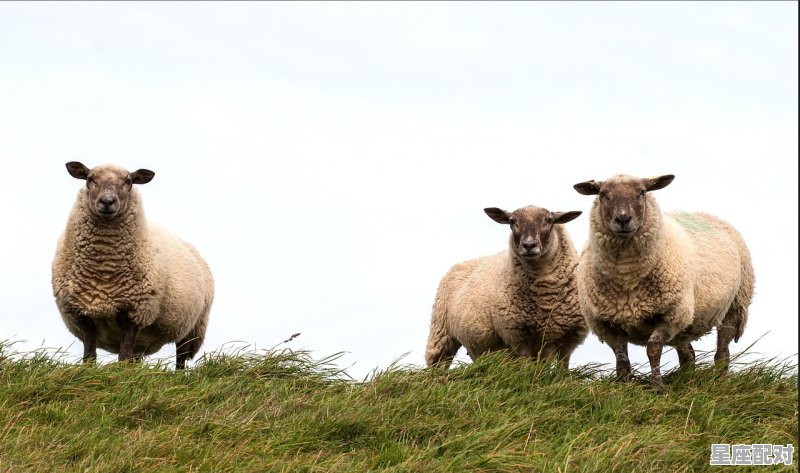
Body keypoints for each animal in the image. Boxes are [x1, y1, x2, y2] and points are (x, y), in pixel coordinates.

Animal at [52, 162, 216, 368]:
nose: (107, 201)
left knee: (180, 359)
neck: (104, 273)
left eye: (128, 181)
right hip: (145, 340)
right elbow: (89, 357)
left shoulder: (136, 313)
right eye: (90, 179)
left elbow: (123, 357)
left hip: (193, 328)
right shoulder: (82, 313)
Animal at [424, 205, 588, 366]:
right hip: (441, 334)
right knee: (438, 363)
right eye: (512, 221)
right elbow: (528, 366)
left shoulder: (568, 338)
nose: (529, 245)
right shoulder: (518, 334)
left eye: (549, 220)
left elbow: (561, 368)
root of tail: (460, 264)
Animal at [572, 173, 752, 388]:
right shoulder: (606, 324)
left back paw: (721, 382)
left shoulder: (670, 314)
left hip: (734, 305)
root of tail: (707, 215)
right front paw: (623, 386)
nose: (623, 219)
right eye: (602, 194)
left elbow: (653, 349)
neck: (626, 276)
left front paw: (658, 387)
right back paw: (686, 380)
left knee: (722, 351)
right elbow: (621, 359)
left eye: (642, 192)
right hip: (686, 322)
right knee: (688, 355)